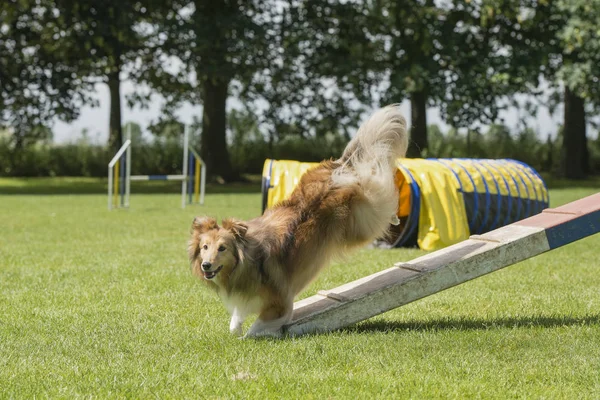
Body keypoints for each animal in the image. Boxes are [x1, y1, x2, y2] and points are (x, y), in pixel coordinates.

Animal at [188, 104, 408, 338]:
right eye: (204, 247)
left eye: (222, 248)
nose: (205, 265)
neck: (246, 264)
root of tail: (337, 166)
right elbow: (236, 318)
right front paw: (236, 328)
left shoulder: (278, 303)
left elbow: (257, 328)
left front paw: (249, 337)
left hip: (359, 224)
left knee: (379, 185)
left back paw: (394, 216)